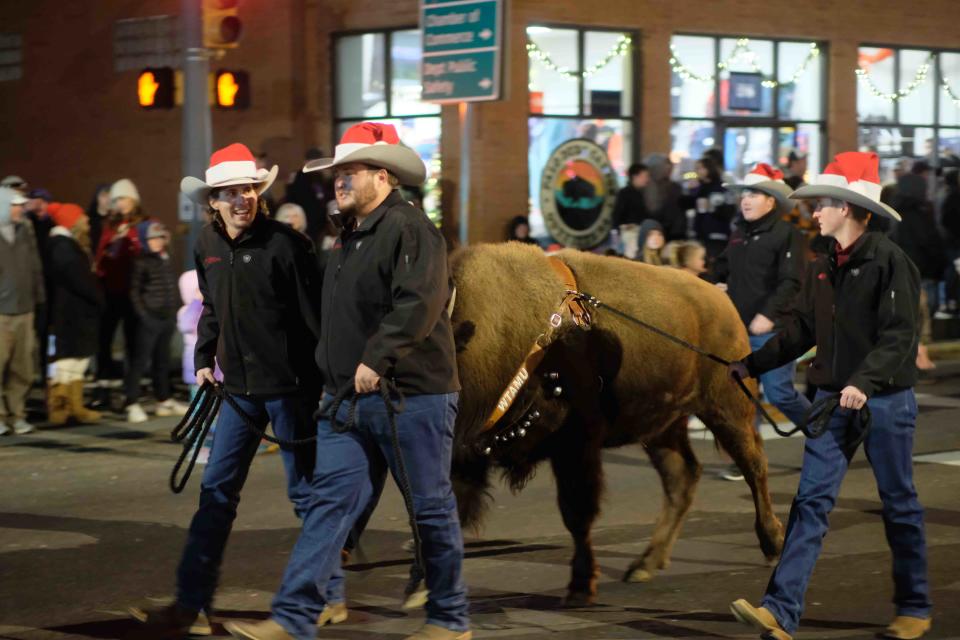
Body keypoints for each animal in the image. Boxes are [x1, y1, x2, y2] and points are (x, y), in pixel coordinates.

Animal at [446, 241, 784, 604]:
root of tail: (722, 301)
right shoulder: (468, 454)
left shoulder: (575, 446)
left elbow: (577, 514)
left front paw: (580, 588)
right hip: (662, 427)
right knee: (682, 476)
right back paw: (643, 565)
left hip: (727, 411)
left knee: (753, 465)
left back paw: (772, 543)